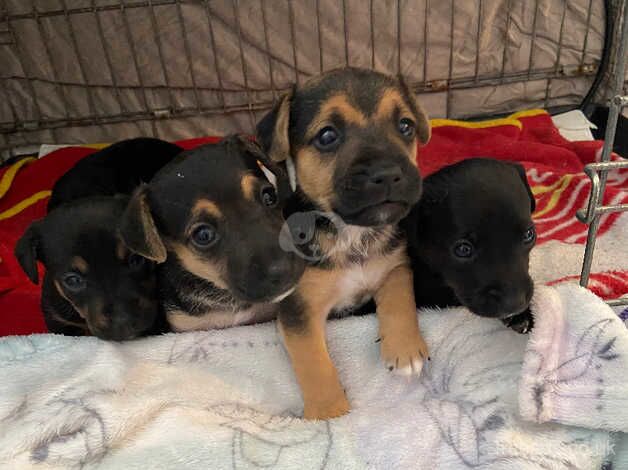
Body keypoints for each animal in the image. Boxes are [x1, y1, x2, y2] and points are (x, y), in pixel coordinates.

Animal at [256, 66, 432, 418]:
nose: (388, 173)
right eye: (327, 136)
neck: (352, 233)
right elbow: (312, 360)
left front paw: (406, 348)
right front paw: (329, 414)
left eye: (405, 126)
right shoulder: (298, 309)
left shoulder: (396, 265)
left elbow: (399, 297)